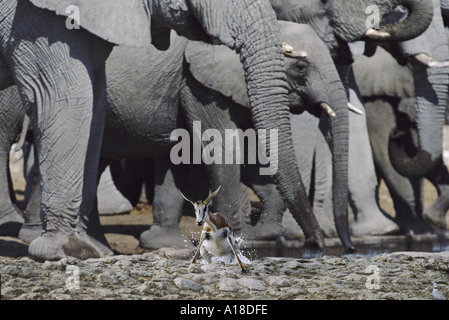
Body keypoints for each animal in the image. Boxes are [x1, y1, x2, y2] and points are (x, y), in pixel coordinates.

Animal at [1, 0, 328, 260]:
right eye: (300, 69)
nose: (316, 245)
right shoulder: (198, 85)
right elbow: (67, 97)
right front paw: (66, 252)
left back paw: (99, 246)